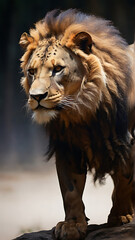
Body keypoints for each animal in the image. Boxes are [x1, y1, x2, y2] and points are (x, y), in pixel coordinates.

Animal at [19, 8, 135, 240]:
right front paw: (72, 225)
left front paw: (121, 216)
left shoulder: (126, 142)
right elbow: (70, 191)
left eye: (57, 69)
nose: (36, 97)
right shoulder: (67, 147)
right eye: (32, 72)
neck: (82, 112)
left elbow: (124, 180)